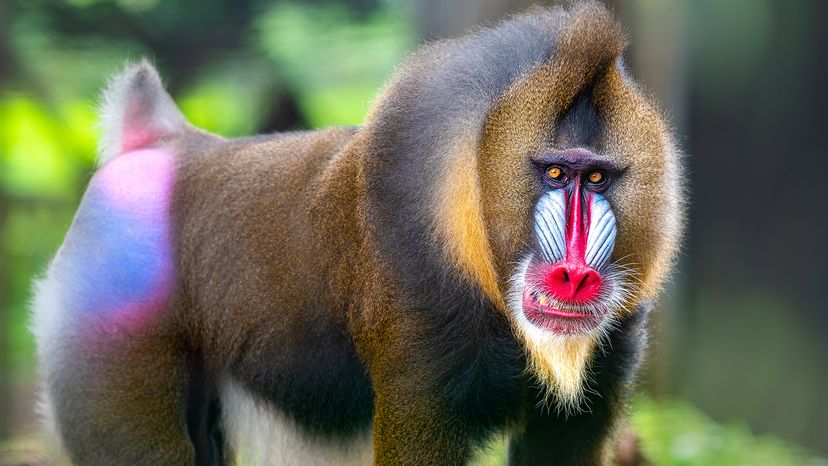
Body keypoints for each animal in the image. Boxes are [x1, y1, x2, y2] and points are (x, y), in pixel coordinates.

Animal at [31, 2, 684, 465]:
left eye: (595, 177)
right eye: (553, 173)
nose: (574, 275)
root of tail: (157, 142)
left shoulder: (598, 380)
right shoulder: (418, 364)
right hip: (107, 349)